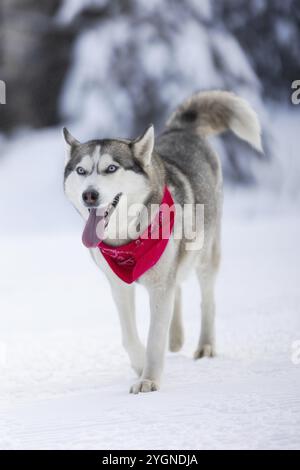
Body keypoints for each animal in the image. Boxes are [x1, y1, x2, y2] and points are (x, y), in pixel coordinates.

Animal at [63, 91, 262, 392]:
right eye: (81, 171)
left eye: (111, 168)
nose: (90, 195)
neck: (127, 237)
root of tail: (182, 128)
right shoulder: (119, 286)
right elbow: (129, 336)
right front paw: (139, 365)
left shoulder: (159, 287)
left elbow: (154, 337)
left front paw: (149, 380)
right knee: (177, 288)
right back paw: (176, 337)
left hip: (204, 254)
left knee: (207, 301)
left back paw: (205, 346)